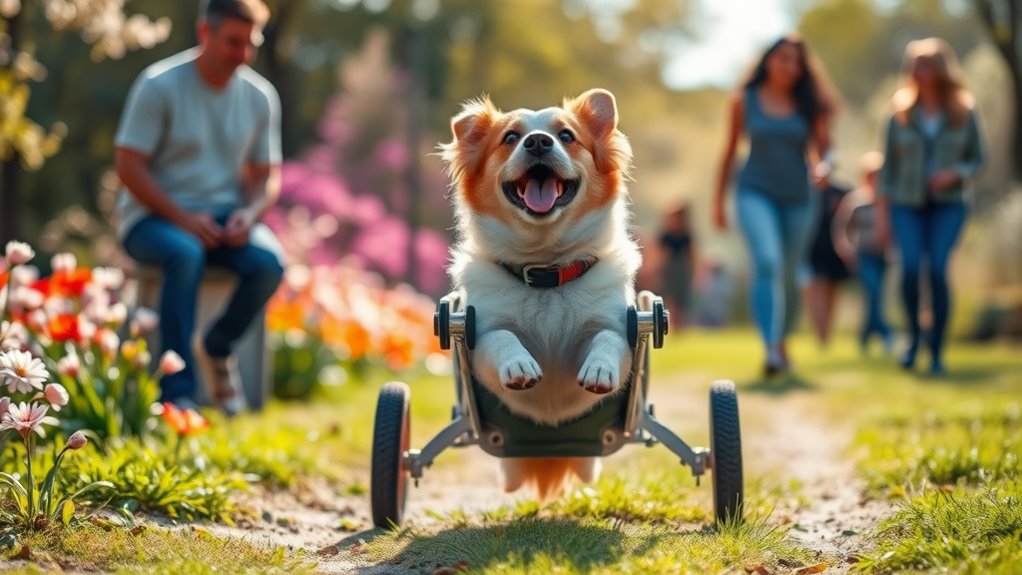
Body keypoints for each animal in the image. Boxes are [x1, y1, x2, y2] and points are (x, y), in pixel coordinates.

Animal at [439, 88, 637, 500]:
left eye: (566, 136)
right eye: (510, 138)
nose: (538, 142)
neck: (547, 272)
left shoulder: (628, 330)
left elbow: (609, 339)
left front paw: (600, 367)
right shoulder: (476, 342)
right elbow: (501, 337)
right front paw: (519, 365)